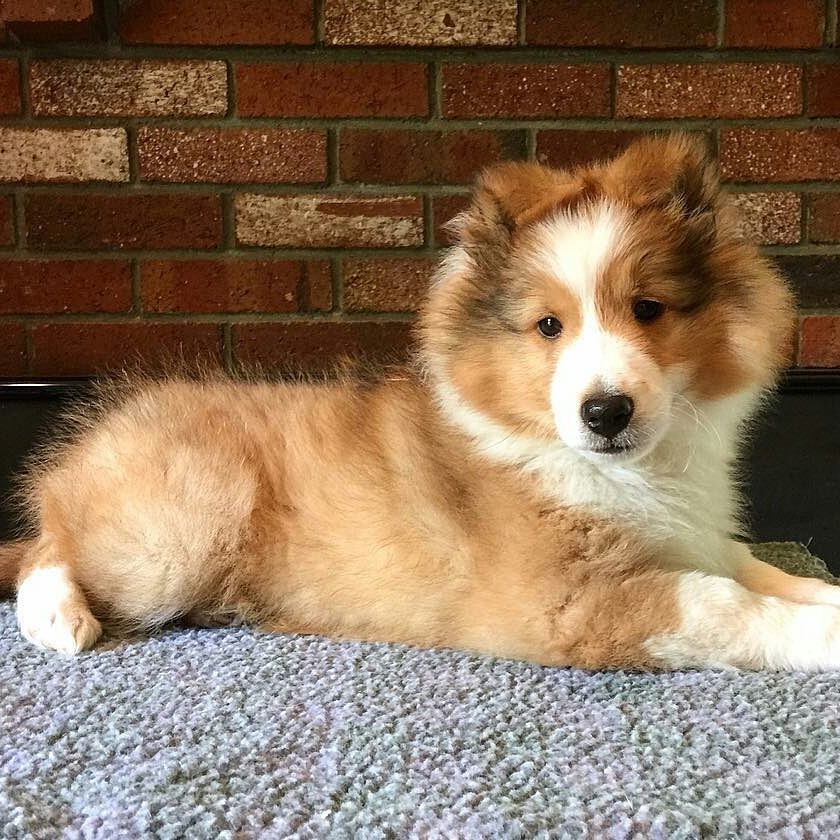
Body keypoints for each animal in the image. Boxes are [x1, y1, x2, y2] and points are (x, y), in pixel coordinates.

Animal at [2, 133, 835, 670]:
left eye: (650, 309)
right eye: (549, 326)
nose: (605, 413)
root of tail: (94, 437)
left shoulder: (689, 537)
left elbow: (751, 565)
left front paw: (823, 593)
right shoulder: (566, 603)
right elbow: (724, 605)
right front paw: (823, 636)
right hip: (173, 536)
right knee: (43, 546)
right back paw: (60, 619)